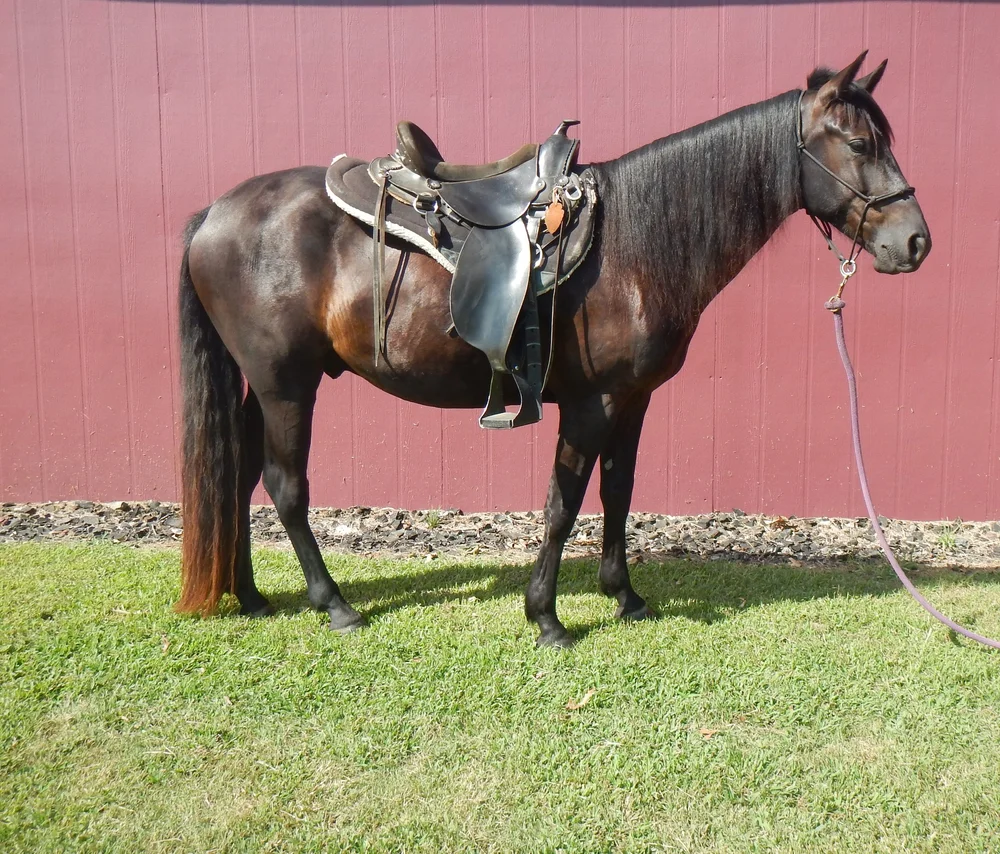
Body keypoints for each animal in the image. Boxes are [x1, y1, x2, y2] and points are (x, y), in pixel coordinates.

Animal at [176, 53, 930, 647]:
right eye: (858, 142)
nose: (916, 241)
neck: (634, 246)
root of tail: (214, 213)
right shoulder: (590, 402)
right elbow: (563, 503)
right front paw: (546, 617)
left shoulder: (632, 398)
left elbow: (618, 492)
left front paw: (624, 596)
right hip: (286, 384)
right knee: (285, 486)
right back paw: (334, 604)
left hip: (260, 386)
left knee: (237, 475)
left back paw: (249, 596)